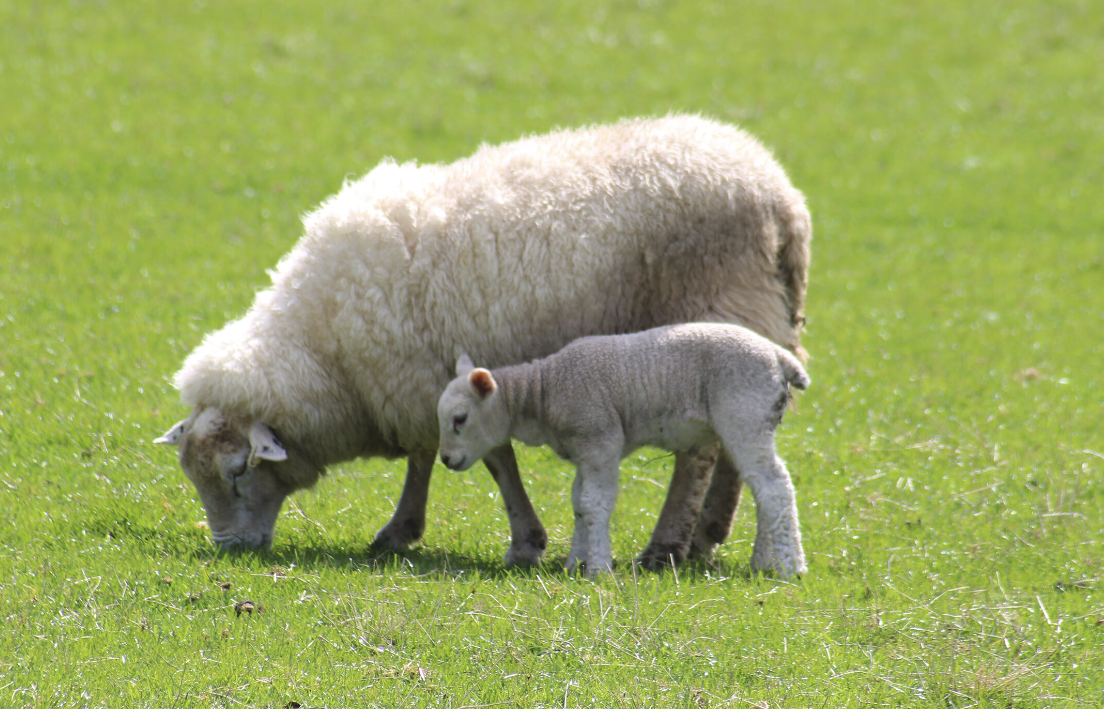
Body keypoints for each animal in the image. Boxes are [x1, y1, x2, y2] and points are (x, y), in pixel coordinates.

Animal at [437, 322, 812, 578]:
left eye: (460, 419)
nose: (446, 459)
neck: (544, 390)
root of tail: (780, 357)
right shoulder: (584, 449)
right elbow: (579, 504)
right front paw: (576, 562)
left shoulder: (600, 439)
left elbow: (595, 504)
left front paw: (597, 568)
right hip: (752, 419)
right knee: (762, 488)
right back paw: (763, 562)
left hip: (744, 413)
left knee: (775, 485)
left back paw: (790, 566)